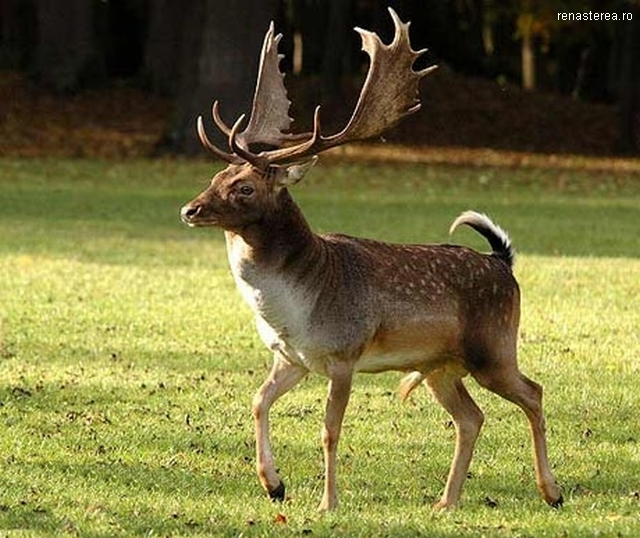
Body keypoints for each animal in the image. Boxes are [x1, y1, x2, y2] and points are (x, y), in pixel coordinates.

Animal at [179, 8, 560, 510]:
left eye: (245, 187)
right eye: (216, 175)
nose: (190, 209)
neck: (293, 308)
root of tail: (503, 262)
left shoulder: (344, 354)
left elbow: (329, 431)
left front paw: (327, 503)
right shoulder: (291, 358)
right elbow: (258, 400)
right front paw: (273, 484)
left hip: (493, 347)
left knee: (533, 392)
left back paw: (551, 491)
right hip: (440, 365)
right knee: (472, 417)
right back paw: (446, 501)